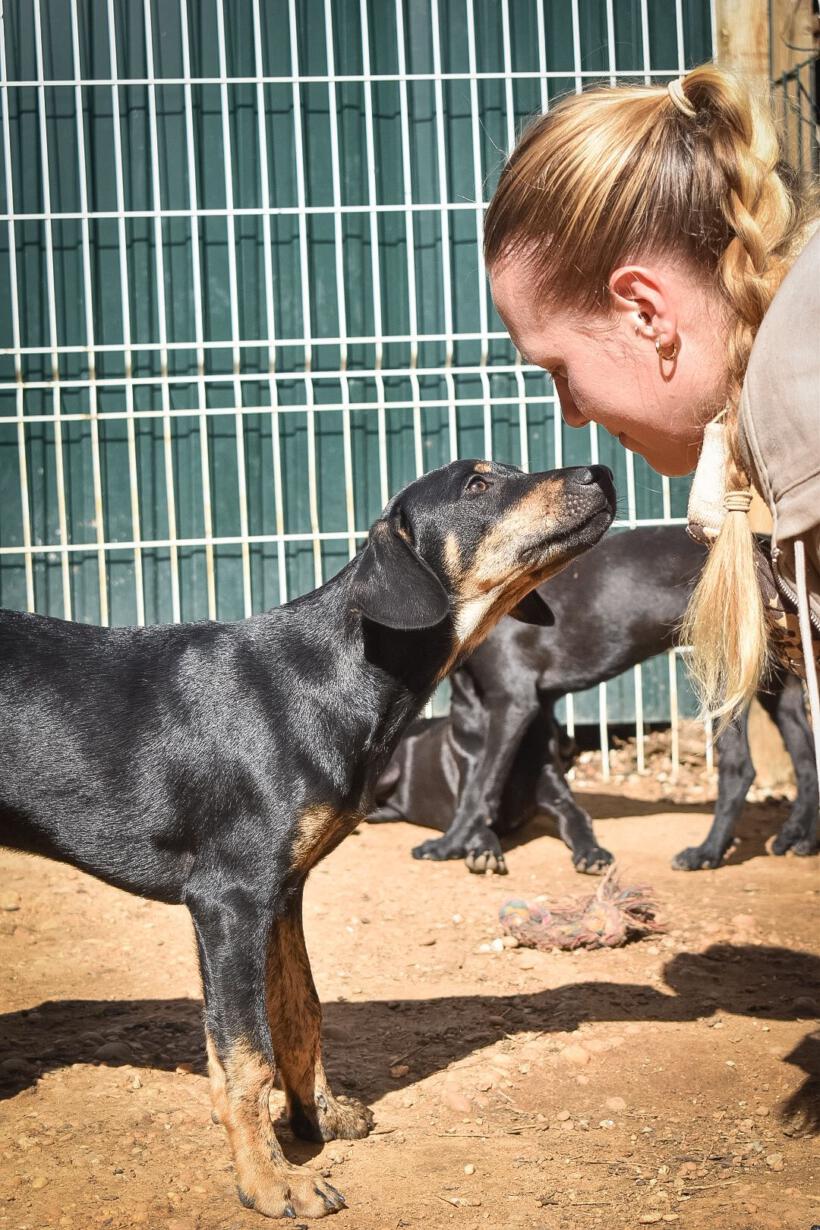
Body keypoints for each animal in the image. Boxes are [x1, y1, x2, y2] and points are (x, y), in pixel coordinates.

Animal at [0, 460, 614, 1220]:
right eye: (476, 485)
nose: (603, 471)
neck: (333, 673)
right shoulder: (229, 897)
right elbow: (247, 1054)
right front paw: (271, 1181)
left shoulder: (283, 891)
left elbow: (301, 1014)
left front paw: (316, 1117)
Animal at [373, 526, 820, 875]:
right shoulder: (532, 705)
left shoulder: (513, 699)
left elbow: (485, 782)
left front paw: (451, 843)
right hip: (779, 681)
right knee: (805, 757)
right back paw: (798, 838)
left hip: (723, 672)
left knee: (739, 768)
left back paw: (708, 852)